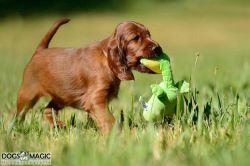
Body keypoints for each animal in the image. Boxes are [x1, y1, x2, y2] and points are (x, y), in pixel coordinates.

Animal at [16, 19, 163, 134]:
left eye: (149, 34)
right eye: (135, 38)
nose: (157, 48)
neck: (106, 59)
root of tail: (40, 50)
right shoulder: (95, 99)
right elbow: (109, 120)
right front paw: (118, 135)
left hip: (63, 96)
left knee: (46, 109)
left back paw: (58, 125)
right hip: (27, 95)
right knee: (19, 114)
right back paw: (15, 128)